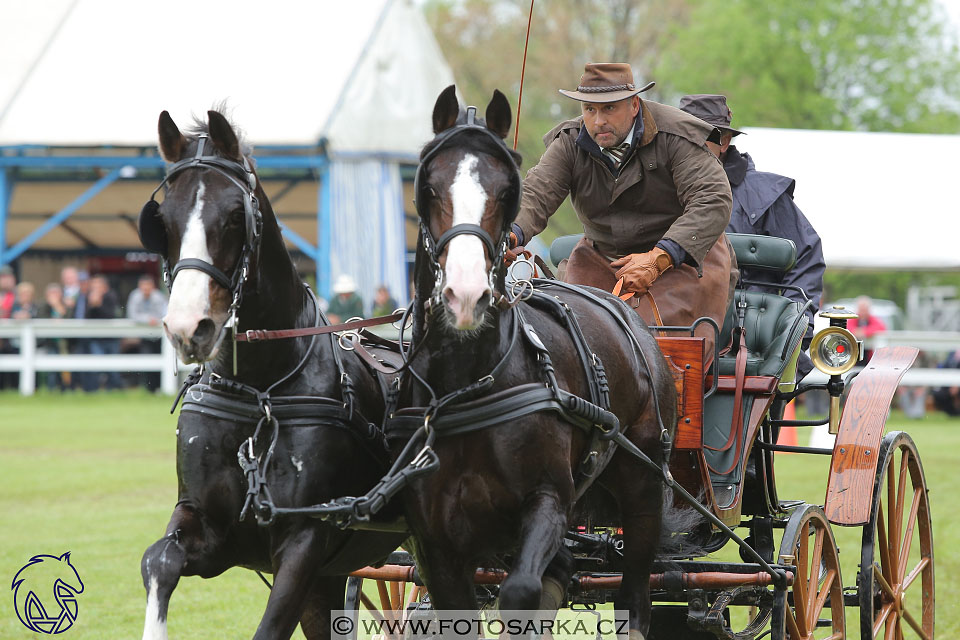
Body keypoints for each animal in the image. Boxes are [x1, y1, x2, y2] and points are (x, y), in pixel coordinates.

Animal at [138, 111, 402, 640]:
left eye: (234, 216)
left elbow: (271, 625)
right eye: (164, 221)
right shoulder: (206, 525)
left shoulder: (306, 538)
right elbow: (158, 561)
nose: (187, 327)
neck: (259, 392)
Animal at [394, 84, 680, 636]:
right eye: (428, 188)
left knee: (634, 595)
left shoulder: (548, 501)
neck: (472, 384)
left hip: (642, 487)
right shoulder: (434, 540)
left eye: (509, 190)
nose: (466, 295)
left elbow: (522, 592)